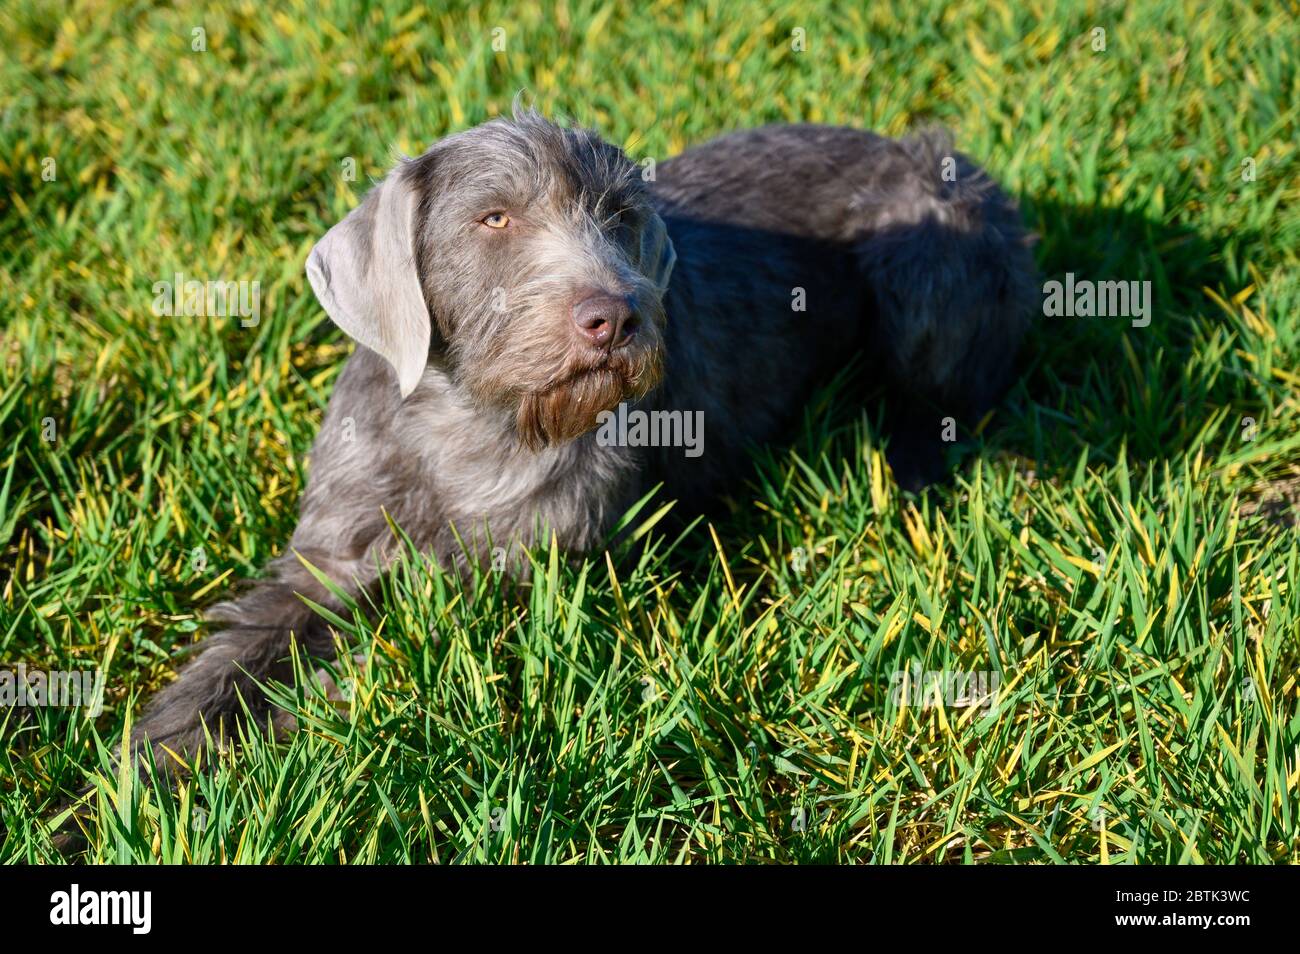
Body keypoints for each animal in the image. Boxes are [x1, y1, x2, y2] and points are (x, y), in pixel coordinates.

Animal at [134, 108, 1034, 769]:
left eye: (620, 216)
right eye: (494, 217)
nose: (616, 316)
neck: (468, 425)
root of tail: (925, 151)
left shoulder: (526, 577)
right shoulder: (333, 555)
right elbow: (246, 649)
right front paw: (148, 767)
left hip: (930, 254)